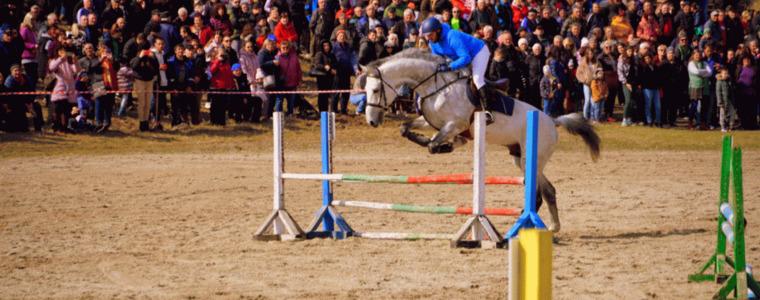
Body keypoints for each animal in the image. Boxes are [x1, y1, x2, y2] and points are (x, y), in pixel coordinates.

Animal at [356, 48, 600, 232]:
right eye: (364, 90)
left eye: (375, 89)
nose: (371, 121)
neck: (435, 86)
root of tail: (553, 120)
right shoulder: (432, 122)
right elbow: (406, 129)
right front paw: (439, 142)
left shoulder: (455, 124)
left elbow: (434, 144)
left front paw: (445, 145)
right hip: (519, 157)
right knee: (545, 190)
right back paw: (544, 225)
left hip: (532, 159)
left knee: (543, 191)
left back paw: (538, 224)